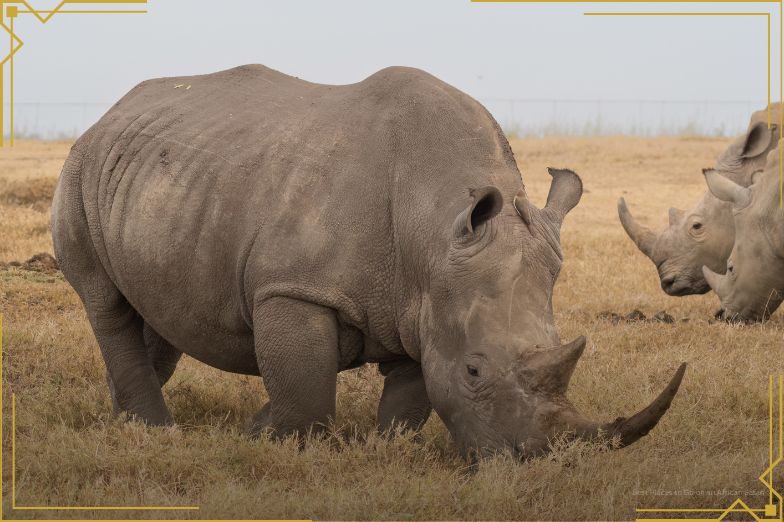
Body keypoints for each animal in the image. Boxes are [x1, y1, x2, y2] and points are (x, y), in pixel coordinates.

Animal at [52, 64, 685, 459]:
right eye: (475, 372)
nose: (535, 462)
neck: (432, 225)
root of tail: (112, 110)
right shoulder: (294, 287)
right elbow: (306, 396)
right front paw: (274, 443)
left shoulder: (424, 303)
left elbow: (408, 400)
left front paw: (381, 449)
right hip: (80, 165)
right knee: (105, 301)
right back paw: (153, 431)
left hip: (161, 178)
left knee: (155, 309)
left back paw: (128, 417)